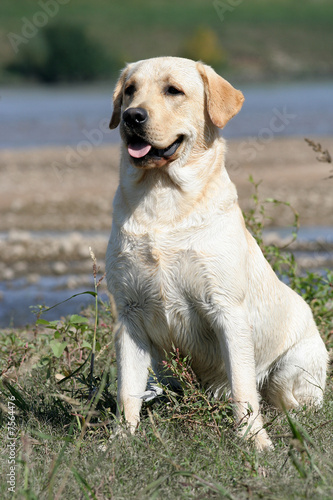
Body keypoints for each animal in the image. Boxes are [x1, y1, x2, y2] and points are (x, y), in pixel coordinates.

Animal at [105, 55, 326, 450]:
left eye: (173, 90)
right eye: (130, 90)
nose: (132, 116)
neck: (163, 200)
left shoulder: (227, 311)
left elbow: (243, 388)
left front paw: (255, 442)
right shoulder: (128, 317)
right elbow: (126, 390)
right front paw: (120, 441)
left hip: (289, 368)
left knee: (286, 401)